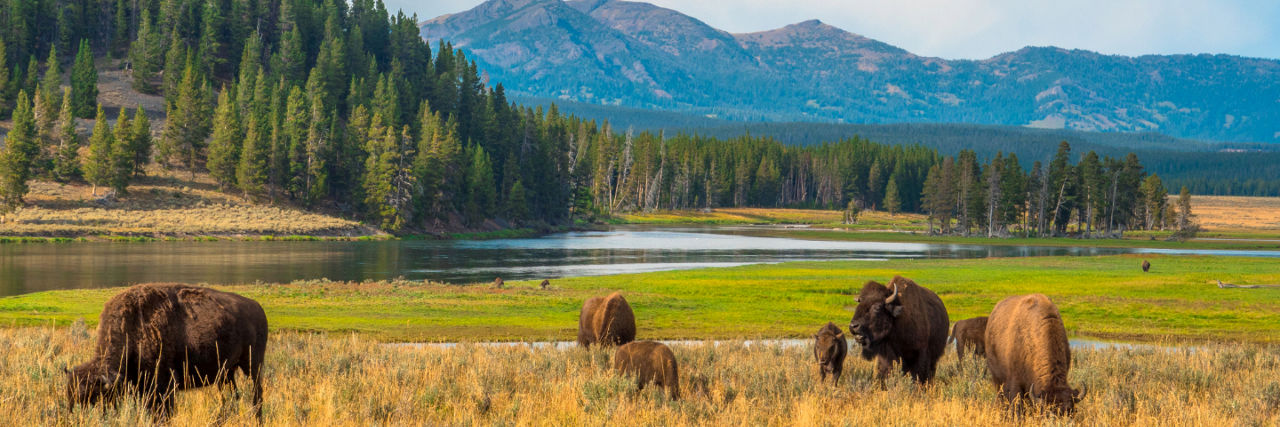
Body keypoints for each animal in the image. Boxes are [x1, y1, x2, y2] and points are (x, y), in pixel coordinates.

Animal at [65, 283, 268, 421]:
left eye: (93, 399)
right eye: (70, 398)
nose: (76, 417)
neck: (134, 327)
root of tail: (258, 307)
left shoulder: (165, 385)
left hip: (252, 365)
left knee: (256, 394)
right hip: (226, 373)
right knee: (232, 396)